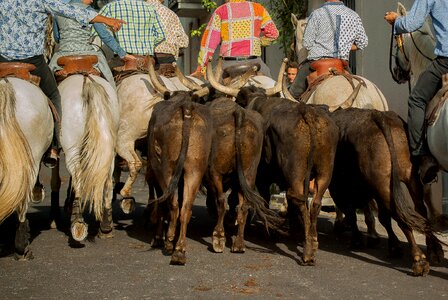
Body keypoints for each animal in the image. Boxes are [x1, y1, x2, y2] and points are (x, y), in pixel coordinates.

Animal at [59, 73, 119, 241]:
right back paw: (106, 226)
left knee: (78, 178)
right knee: (107, 181)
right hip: (109, 150)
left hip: (72, 149)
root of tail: (86, 82)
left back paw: (77, 223)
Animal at [145, 92, 212, 264]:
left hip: (167, 168)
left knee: (173, 205)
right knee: (185, 208)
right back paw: (179, 249)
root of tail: (186, 106)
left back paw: (170, 242)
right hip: (195, 169)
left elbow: (162, 206)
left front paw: (158, 238)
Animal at [236, 86, 338, 264]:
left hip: (294, 170)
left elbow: (265, 198)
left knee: (298, 198)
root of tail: (307, 111)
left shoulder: (263, 177)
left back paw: (307, 252)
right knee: (313, 202)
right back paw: (312, 240)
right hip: (325, 169)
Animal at [328, 108, 444, 276]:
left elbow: (352, 213)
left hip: (382, 185)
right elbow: (381, 217)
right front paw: (392, 246)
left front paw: (356, 239)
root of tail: (378, 115)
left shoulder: (340, 188)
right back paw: (434, 250)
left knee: (402, 216)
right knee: (419, 211)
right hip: (408, 179)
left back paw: (419, 260)